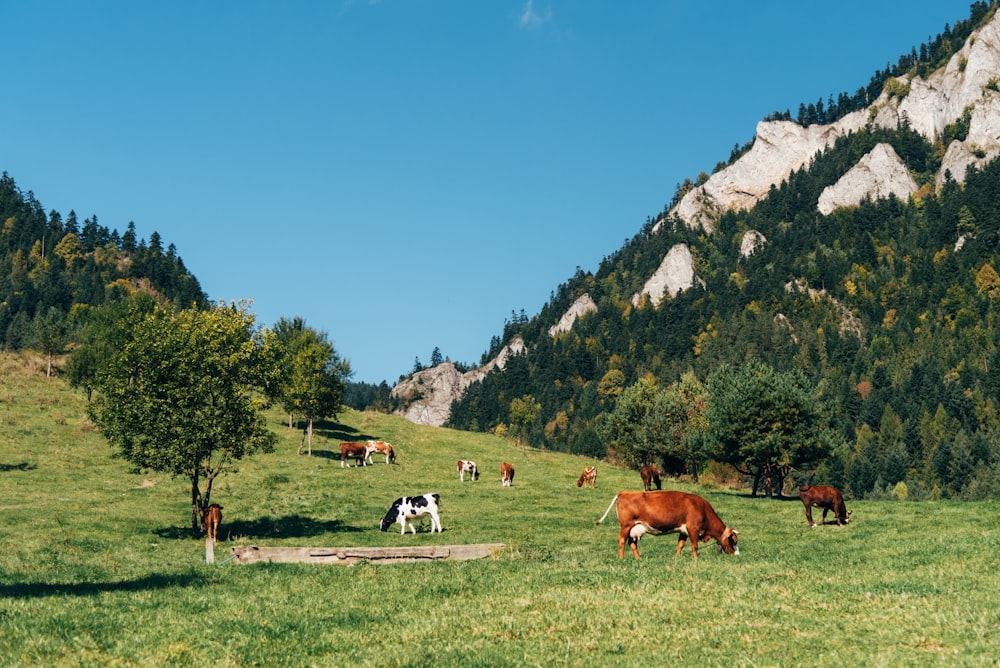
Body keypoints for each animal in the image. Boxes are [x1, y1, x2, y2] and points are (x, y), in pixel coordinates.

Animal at [596, 490, 740, 560]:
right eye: (733, 541)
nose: (738, 555)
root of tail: (625, 492)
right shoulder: (693, 528)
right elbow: (694, 545)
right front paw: (696, 559)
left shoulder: (684, 531)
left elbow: (680, 545)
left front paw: (677, 558)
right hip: (626, 526)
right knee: (621, 541)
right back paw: (622, 559)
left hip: (634, 528)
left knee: (632, 543)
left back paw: (638, 558)